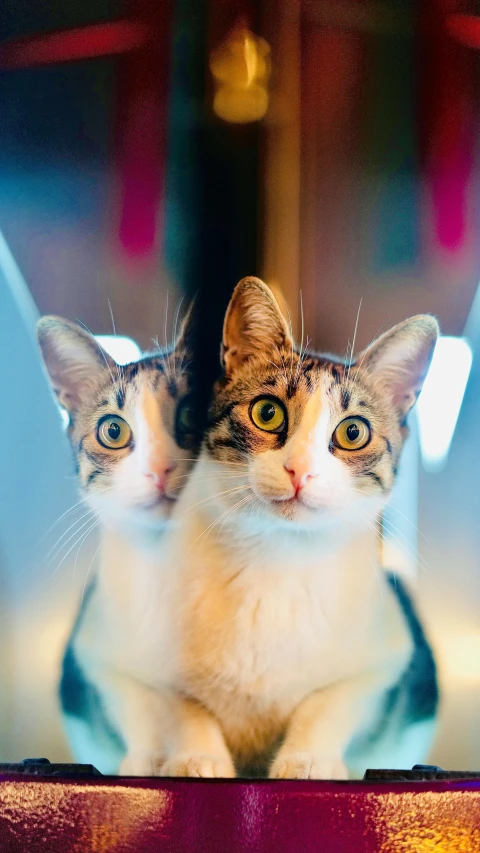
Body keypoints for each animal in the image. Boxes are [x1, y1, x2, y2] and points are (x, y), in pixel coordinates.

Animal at [126, 278, 436, 780]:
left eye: (353, 432)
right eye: (267, 413)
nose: (299, 470)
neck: (272, 560)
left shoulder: (390, 654)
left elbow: (329, 700)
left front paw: (307, 760)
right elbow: (182, 704)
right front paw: (197, 757)